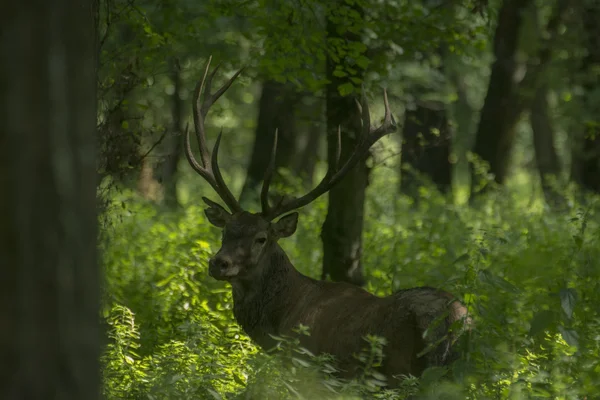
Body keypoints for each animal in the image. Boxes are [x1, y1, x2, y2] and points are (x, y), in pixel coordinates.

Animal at [185, 57, 472, 384]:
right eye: (226, 232)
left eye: (261, 238)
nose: (218, 263)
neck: (279, 323)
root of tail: (452, 324)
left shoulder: (307, 368)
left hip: (401, 372)